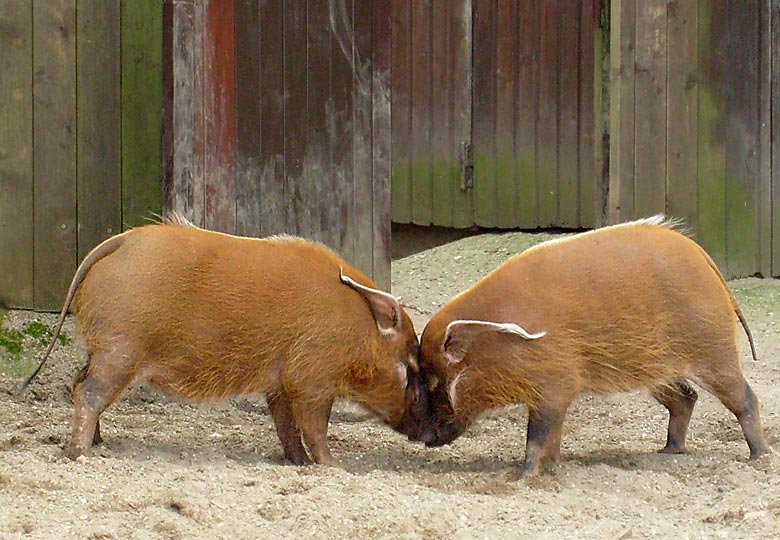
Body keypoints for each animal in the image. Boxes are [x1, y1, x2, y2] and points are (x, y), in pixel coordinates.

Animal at [21, 215, 430, 464]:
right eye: (410, 364)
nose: (428, 432)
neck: (360, 327)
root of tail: (116, 243)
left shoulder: (279, 385)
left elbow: (286, 426)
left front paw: (297, 463)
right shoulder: (313, 380)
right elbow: (315, 426)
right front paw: (334, 466)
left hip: (103, 350)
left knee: (78, 383)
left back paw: (99, 444)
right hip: (119, 351)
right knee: (87, 392)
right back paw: (79, 453)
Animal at [418, 215, 772, 476]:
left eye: (437, 379)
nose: (423, 438)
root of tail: (703, 257)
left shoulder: (555, 386)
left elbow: (538, 435)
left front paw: (523, 476)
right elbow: (552, 434)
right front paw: (552, 469)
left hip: (713, 353)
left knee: (745, 399)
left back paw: (758, 456)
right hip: (656, 370)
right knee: (686, 399)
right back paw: (668, 450)